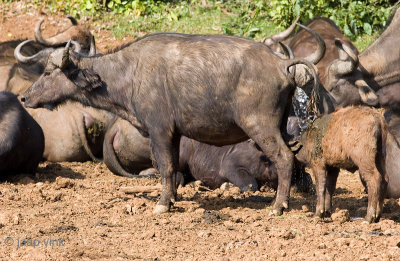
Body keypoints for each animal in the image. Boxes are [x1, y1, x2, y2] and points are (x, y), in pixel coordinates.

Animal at [21, 32, 318, 214]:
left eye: (47, 73)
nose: (24, 97)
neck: (129, 72)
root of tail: (281, 65)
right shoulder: (174, 134)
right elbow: (173, 167)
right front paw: (173, 198)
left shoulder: (159, 130)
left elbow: (163, 166)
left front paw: (163, 204)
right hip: (282, 125)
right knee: (295, 157)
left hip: (260, 126)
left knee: (283, 158)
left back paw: (278, 205)